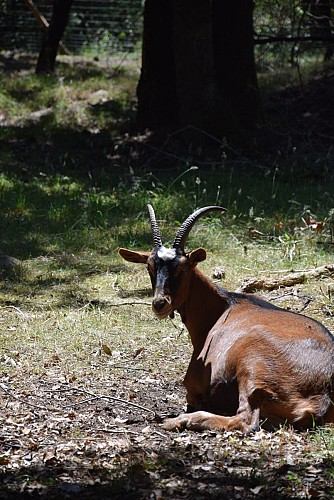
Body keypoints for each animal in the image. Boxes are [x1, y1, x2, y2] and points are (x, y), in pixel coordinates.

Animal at [118, 205, 334, 432]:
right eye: (149, 266)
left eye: (183, 268)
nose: (160, 303)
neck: (223, 307)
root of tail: (323, 395)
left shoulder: (194, 385)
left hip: (252, 366)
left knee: (246, 420)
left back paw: (179, 420)